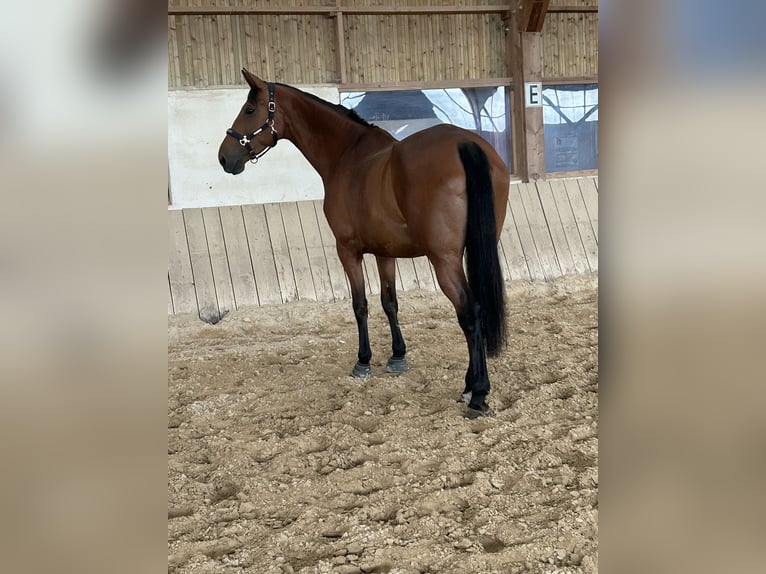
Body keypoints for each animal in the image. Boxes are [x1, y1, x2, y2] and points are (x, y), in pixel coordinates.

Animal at [219, 71, 512, 418]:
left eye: (250, 109)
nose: (224, 157)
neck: (347, 155)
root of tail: (465, 143)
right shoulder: (386, 252)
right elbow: (390, 302)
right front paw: (397, 356)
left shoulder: (347, 250)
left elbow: (360, 305)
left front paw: (363, 362)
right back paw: (469, 386)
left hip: (444, 260)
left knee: (469, 312)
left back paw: (477, 393)